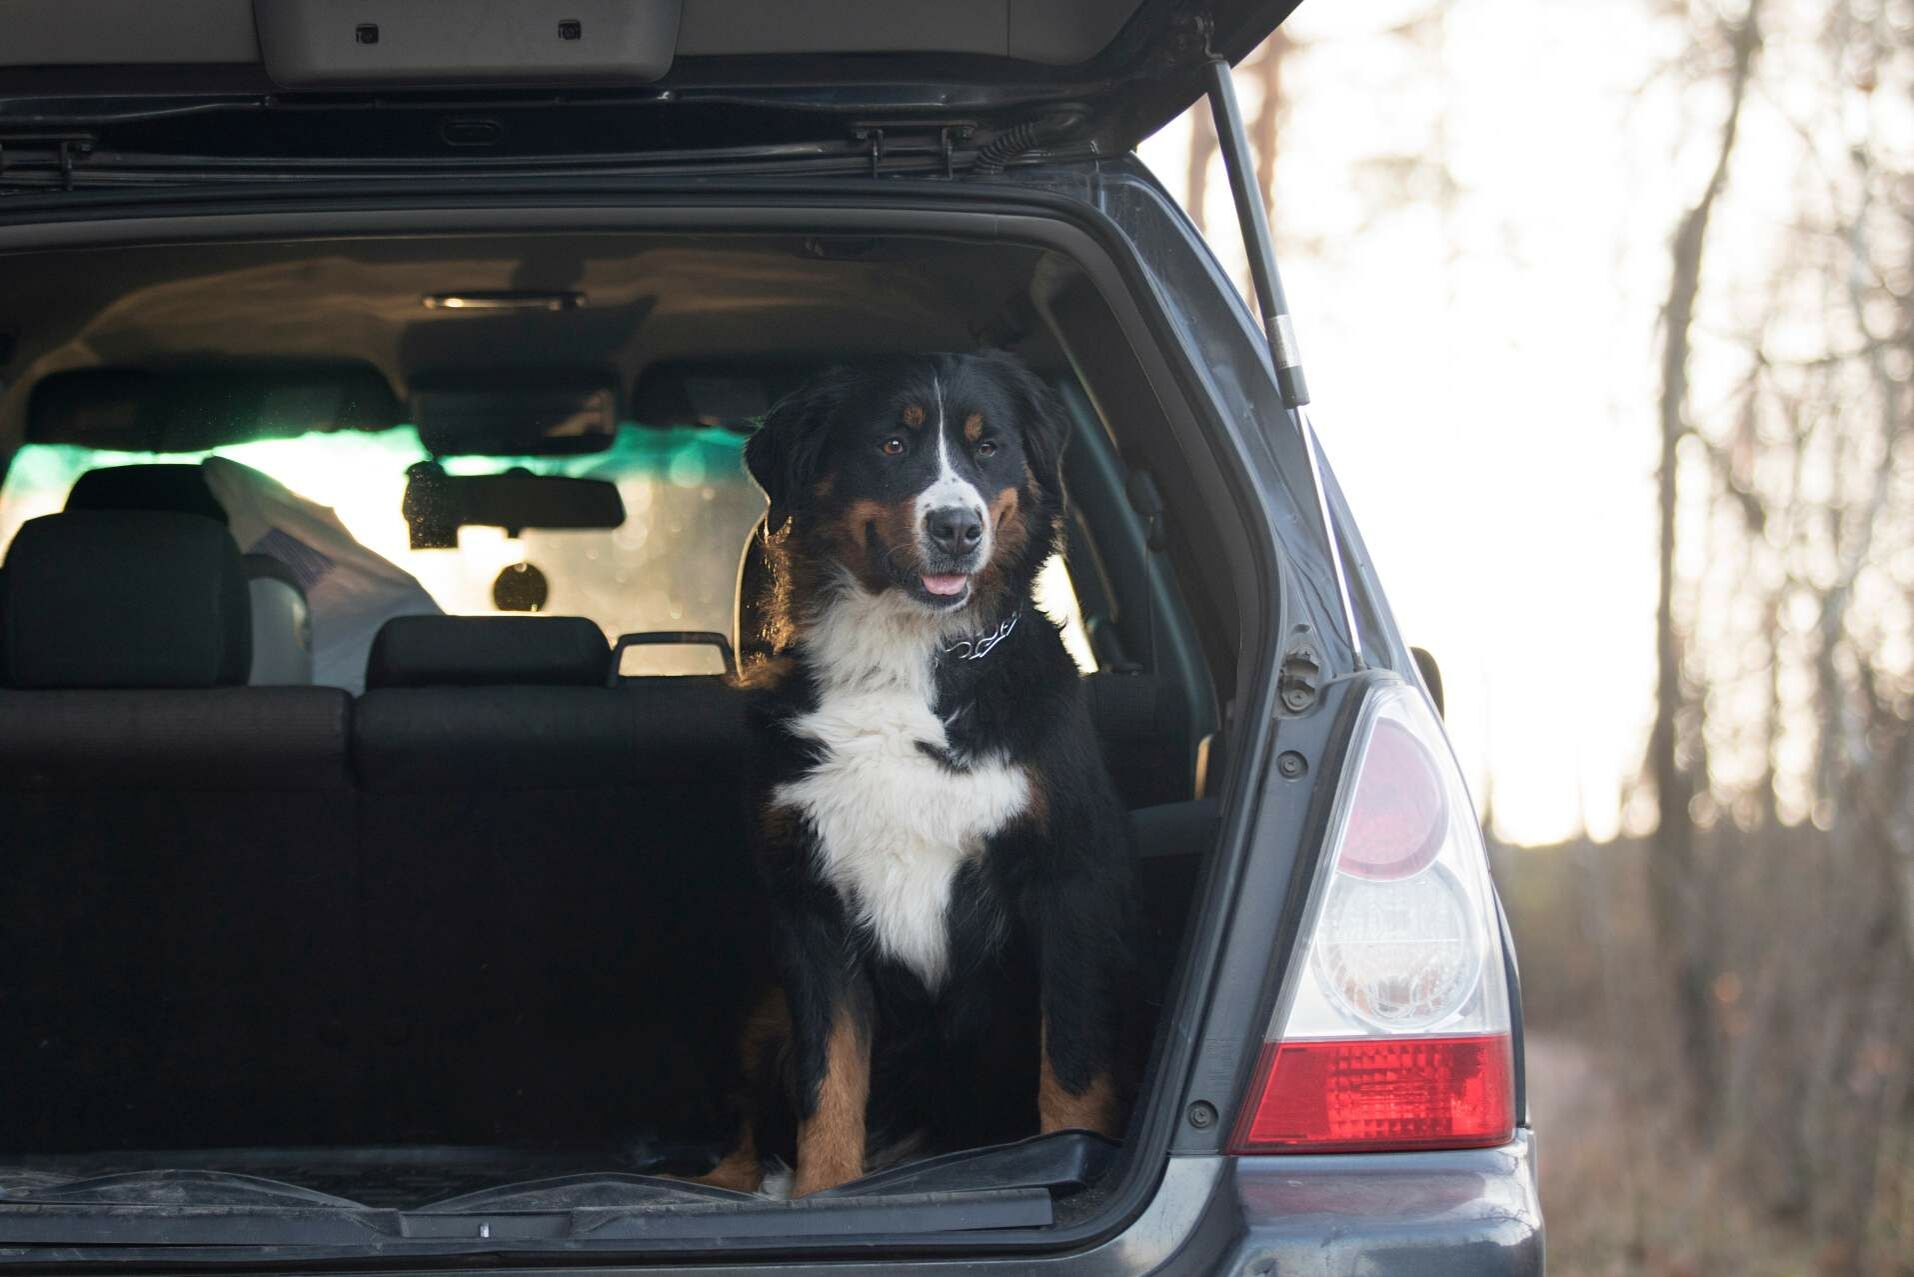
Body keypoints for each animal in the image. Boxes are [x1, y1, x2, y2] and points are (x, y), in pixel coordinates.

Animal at [700, 350, 1133, 1202]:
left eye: (987, 446)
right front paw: (823, 1193)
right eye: (892, 445)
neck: (900, 659)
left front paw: (1066, 1157)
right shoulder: (811, 905)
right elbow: (829, 1080)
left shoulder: (1069, 878)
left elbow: (1070, 1066)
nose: (957, 527)